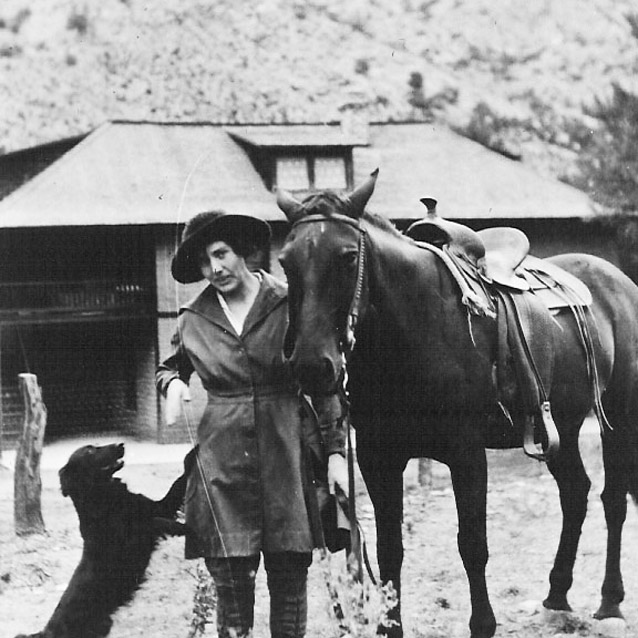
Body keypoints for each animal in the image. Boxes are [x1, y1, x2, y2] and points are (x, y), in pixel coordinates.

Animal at [16, 442, 196, 638]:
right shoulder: (132, 539)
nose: (121, 444)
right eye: (90, 451)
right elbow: (154, 522)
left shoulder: (159, 507)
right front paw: (184, 527)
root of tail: (45, 631)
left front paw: (193, 454)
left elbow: (176, 486)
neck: (104, 497)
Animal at [278, 171, 638, 638]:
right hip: (563, 425)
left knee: (613, 500)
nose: (311, 364)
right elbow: (390, 548)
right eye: (286, 261)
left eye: (346, 256)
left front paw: (482, 623)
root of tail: (618, 281)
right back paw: (557, 595)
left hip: (618, 418)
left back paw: (610, 600)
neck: (414, 330)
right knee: (576, 493)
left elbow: (472, 545)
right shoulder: (379, 459)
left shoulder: (467, 455)